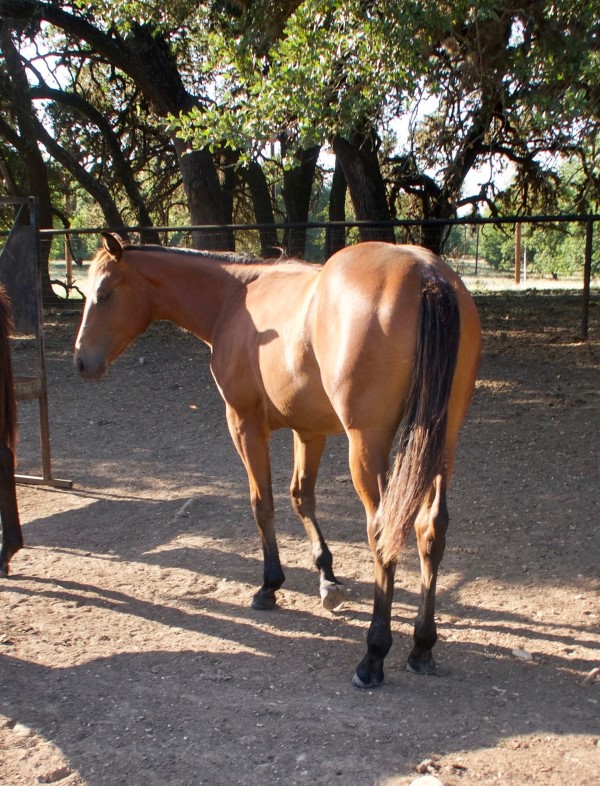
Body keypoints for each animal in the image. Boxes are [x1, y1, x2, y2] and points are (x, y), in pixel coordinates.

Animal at [75, 233, 480, 688]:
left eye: (103, 294)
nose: (81, 360)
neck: (235, 297)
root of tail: (426, 273)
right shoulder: (310, 431)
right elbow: (301, 497)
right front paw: (327, 579)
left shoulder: (244, 424)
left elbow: (262, 503)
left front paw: (270, 586)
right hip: (442, 441)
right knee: (431, 530)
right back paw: (422, 645)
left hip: (368, 445)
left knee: (382, 531)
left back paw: (373, 655)